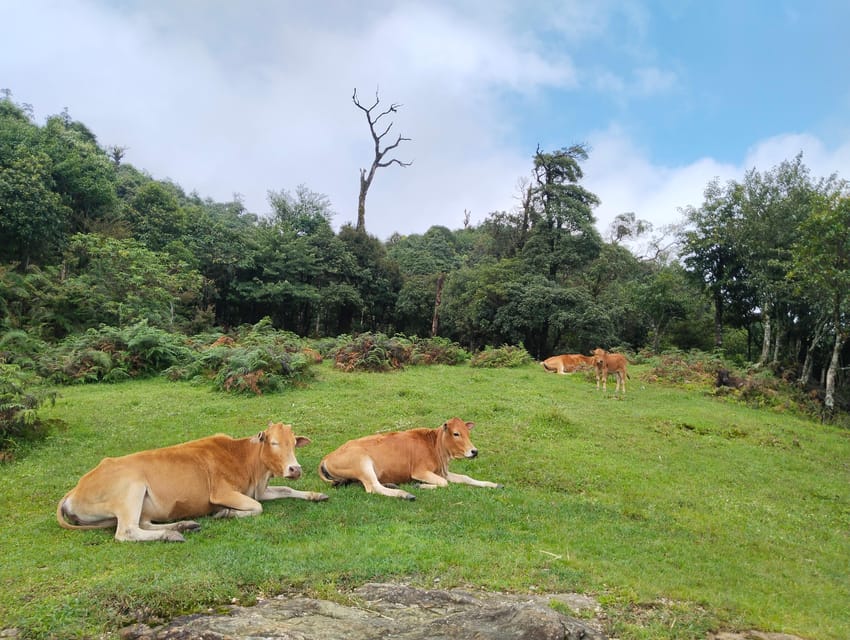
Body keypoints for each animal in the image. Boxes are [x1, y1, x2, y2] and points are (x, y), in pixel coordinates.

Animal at [56, 422, 326, 544]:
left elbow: (285, 488)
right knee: (127, 531)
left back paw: (183, 525)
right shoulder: (222, 492)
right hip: (131, 489)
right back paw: (171, 534)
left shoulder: (258, 489)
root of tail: (74, 490)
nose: (295, 468)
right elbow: (257, 508)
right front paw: (225, 513)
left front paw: (315, 494)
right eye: (274, 443)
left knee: (143, 523)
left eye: (294, 443)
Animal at [320, 418, 504, 502]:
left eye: (468, 432)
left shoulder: (442, 471)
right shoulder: (420, 471)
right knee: (373, 487)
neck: (434, 446)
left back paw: (393, 485)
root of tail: (327, 457)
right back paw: (404, 493)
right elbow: (444, 484)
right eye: (456, 433)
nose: (474, 451)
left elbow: (466, 478)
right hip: (363, 463)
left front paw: (493, 484)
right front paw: (419, 485)